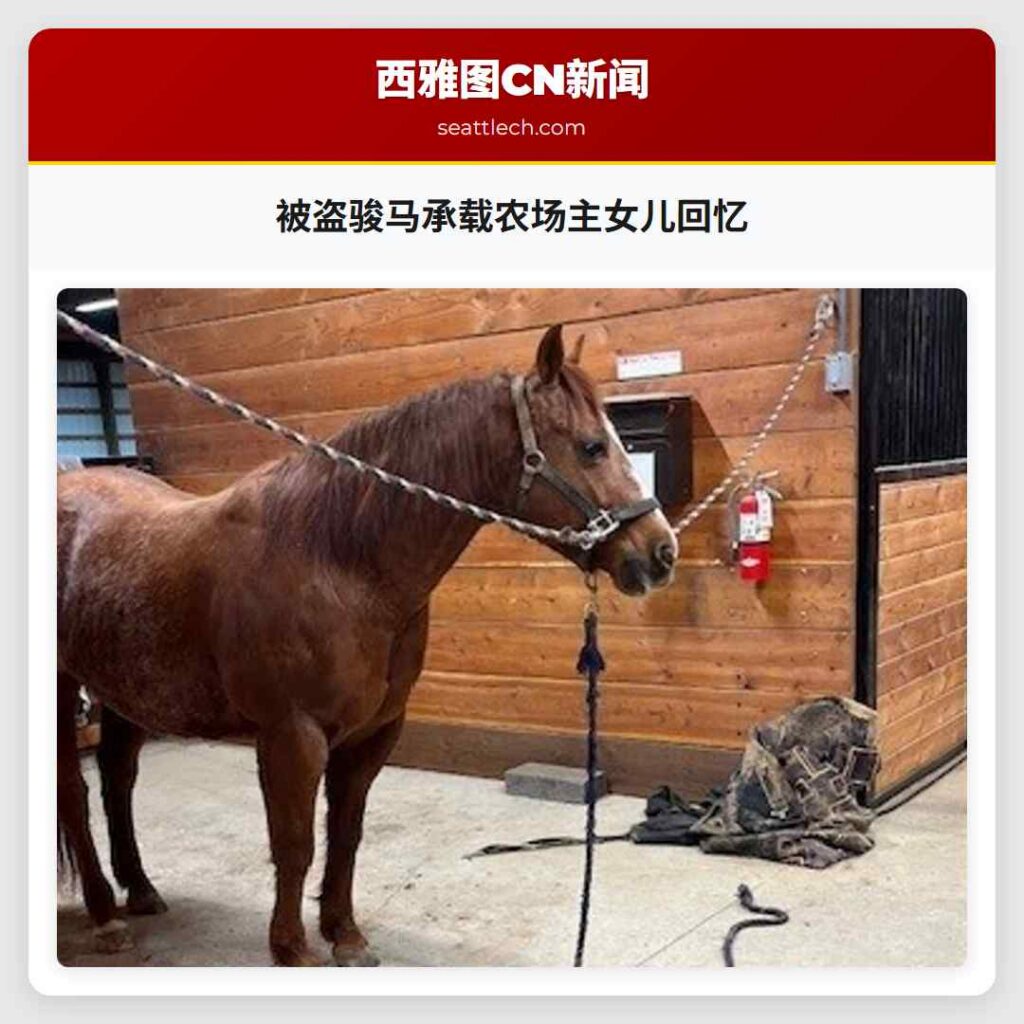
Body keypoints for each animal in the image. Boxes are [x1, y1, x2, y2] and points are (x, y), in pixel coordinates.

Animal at [56, 323, 678, 966]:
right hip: (65, 689)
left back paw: (140, 889)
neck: (338, 562)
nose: (661, 552)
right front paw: (292, 949)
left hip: (125, 691)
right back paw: (104, 916)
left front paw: (346, 936)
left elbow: (346, 836)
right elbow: (296, 843)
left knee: (117, 780)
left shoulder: (373, 733)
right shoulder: (292, 736)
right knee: (73, 796)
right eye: (592, 447)